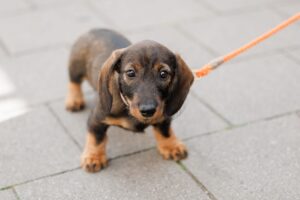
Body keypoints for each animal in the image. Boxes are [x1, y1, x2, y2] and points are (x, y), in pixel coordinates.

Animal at [65, 28, 195, 172]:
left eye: (163, 74)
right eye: (131, 73)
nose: (148, 110)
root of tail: (95, 29)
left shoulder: (163, 114)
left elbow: (165, 130)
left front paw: (171, 145)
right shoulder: (96, 118)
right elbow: (96, 138)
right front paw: (94, 157)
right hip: (76, 67)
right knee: (74, 83)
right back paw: (74, 100)